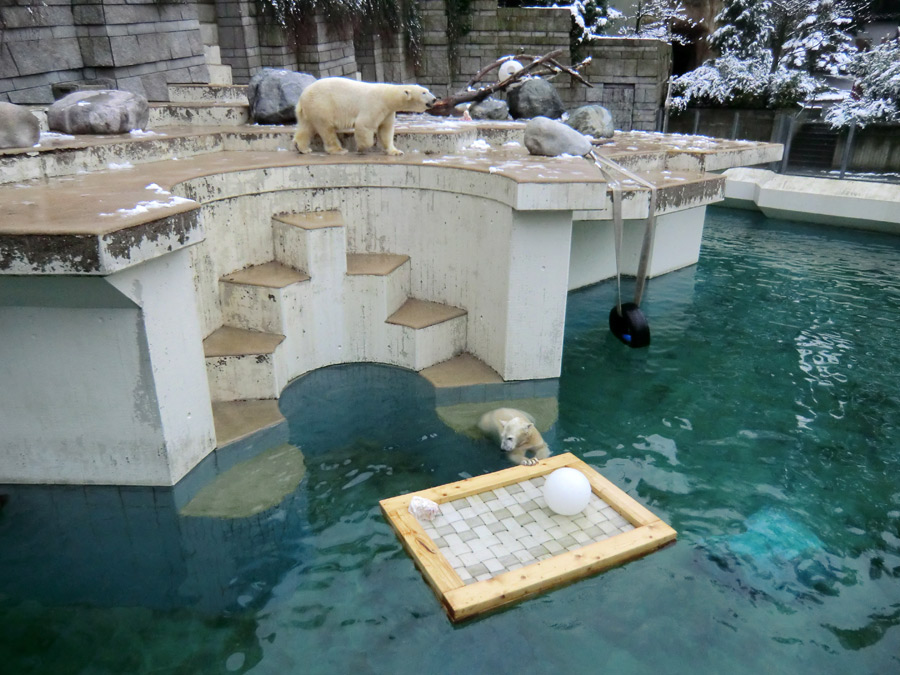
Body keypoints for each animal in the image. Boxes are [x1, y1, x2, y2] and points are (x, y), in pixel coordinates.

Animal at [294, 77, 438, 156]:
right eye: (424, 92)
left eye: (427, 90)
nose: (434, 99)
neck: (386, 96)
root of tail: (302, 96)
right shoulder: (374, 105)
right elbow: (364, 124)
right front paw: (361, 147)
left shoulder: (387, 112)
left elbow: (385, 131)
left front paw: (396, 152)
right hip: (322, 105)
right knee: (326, 129)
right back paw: (339, 150)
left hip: (310, 109)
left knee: (306, 127)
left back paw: (302, 148)